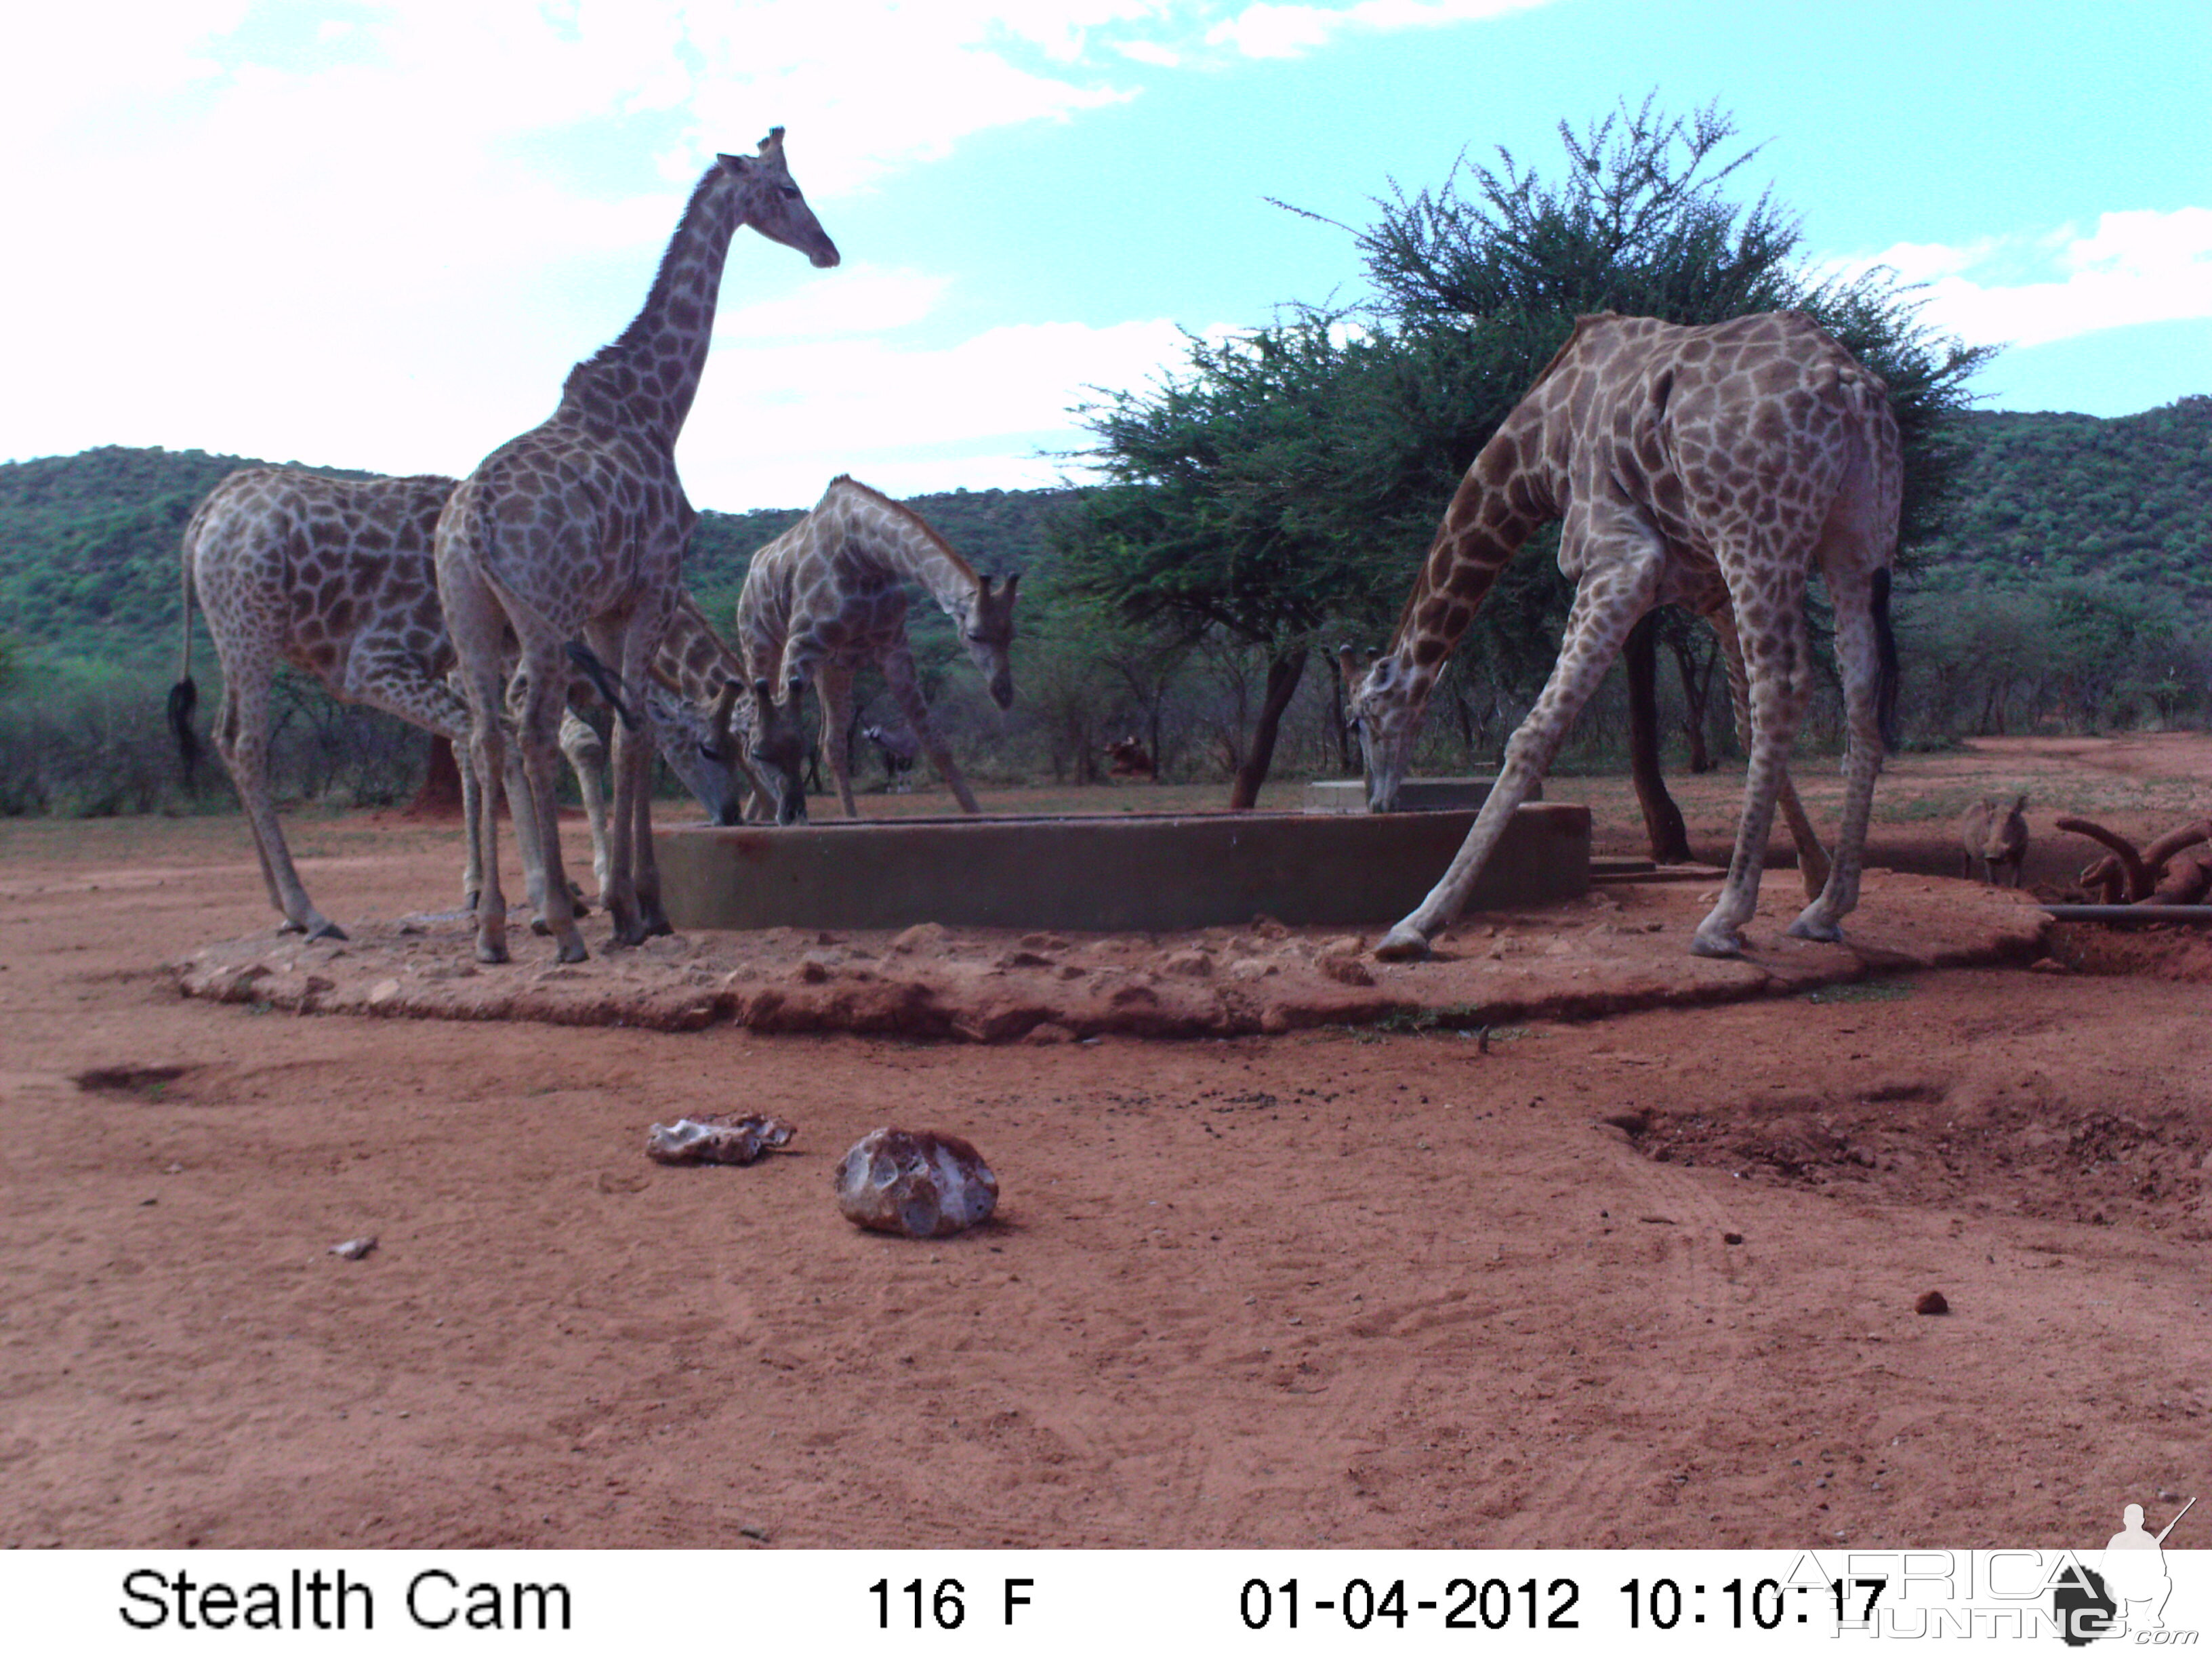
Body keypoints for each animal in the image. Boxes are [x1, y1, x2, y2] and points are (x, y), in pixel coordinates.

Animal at [172, 468, 783, 942]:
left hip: (238, 639)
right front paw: (573, 893)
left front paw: (576, 893)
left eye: (743, 750)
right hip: (253, 630)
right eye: (710, 749)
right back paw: (313, 912)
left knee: (226, 737)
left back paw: (287, 910)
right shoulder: (388, 663)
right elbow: (564, 743)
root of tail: (203, 519)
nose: (733, 814)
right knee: (249, 744)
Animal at [433, 129, 836, 968]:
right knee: (529, 732)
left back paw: (492, 929)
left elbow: (632, 732)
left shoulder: (608, 608)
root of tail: (470, 526)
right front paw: (637, 906)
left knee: (484, 737)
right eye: (788, 190)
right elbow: (636, 734)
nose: (828, 249)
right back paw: (558, 922)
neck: (658, 409)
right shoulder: (653, 584)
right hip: (541, 621)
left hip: (474, 618)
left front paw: (630, 904)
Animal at [1345, 309, 1902, 960]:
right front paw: (1812, 872)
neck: (1538, 447)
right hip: (1857, 540)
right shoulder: (1704, 587)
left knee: (1785, 686)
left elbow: (1531, 735)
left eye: (1360, 721)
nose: (1377, 802)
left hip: (1758, 533)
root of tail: (1849, 384)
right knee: (1861, 691)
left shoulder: (1619, 558)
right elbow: (1741, 724)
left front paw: (1418, 921)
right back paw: (1827, 906)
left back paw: (1724, 917)